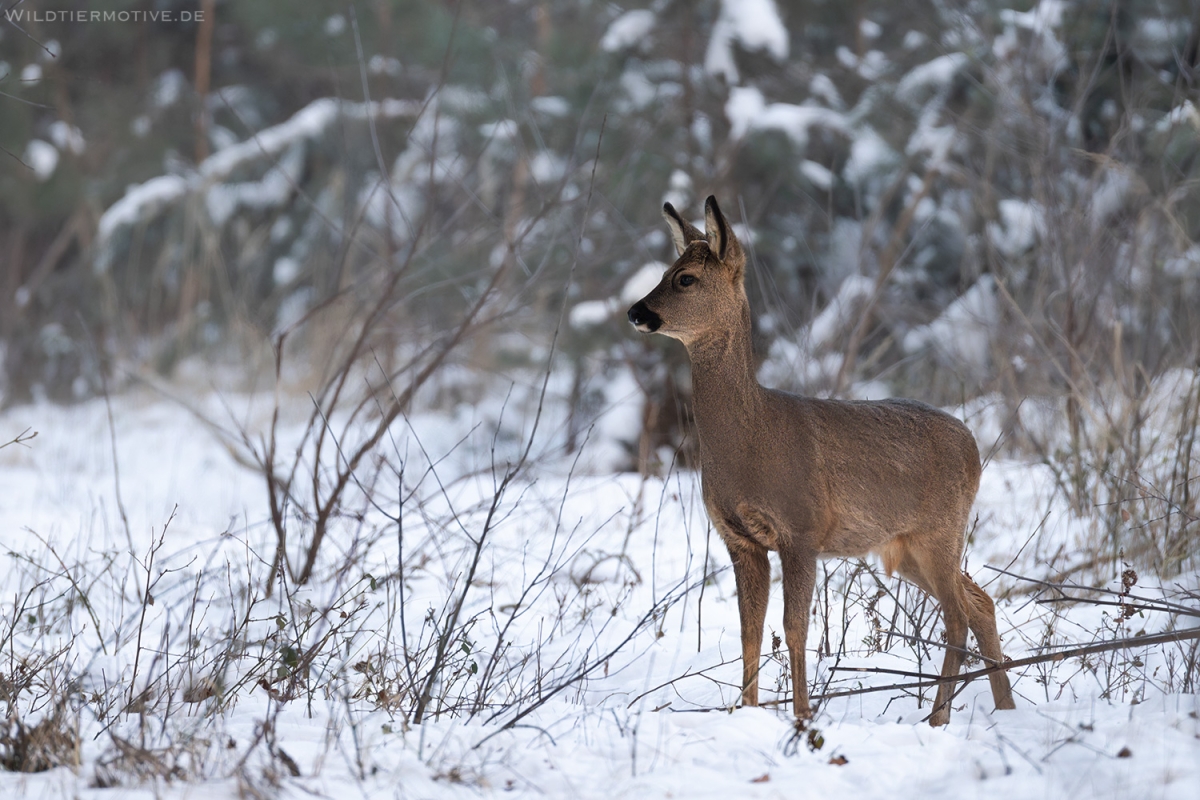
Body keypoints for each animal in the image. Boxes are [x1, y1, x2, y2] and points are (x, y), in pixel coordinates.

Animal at [626, 196, 1015, 727]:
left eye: (685, 279)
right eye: (666, 271)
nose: (635, 311)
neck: (751, 439)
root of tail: (973, 445)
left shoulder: (802, 528)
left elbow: (794, 628)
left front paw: (803, 715)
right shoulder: (740, 540)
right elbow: (750, 630)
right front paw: (745, 711)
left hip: (940, 530)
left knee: (957, 614)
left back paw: (938, 718)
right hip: (909, 546)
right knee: (981, 602)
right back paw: (1005, 707)